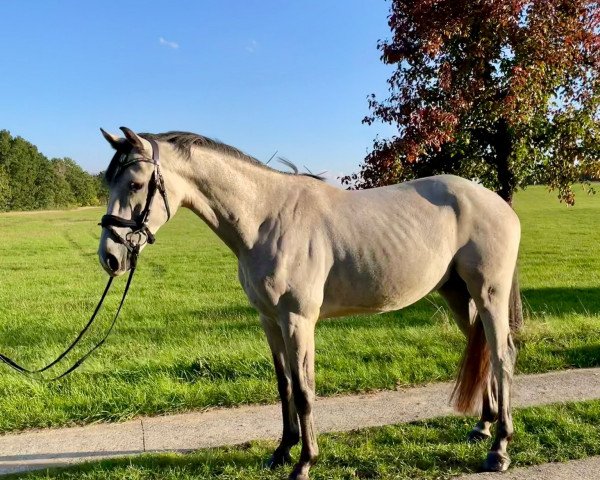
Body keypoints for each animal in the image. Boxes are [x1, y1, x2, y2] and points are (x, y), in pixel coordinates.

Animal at [97, 125, 520, 478]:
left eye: (135, 184)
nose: (110, 258)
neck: (266, 219)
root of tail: (498, 203)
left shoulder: (297, 320)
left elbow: (304, 390)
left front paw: (305, 462)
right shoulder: (269, 320)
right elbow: (284, 384)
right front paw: (283, 450)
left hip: (489, 294)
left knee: (502, 355)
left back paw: (500, 448)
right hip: (458, 294)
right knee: (482, 350)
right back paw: (483, 426)